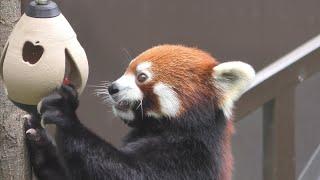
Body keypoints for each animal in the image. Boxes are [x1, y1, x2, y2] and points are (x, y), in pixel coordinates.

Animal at [24, 44, 255, 180]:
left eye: (141, 77)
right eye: (126, 70)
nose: (112, 88)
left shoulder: (189, 159)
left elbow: (127, 173)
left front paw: (66, 115)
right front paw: (39, 140)